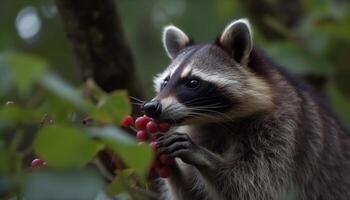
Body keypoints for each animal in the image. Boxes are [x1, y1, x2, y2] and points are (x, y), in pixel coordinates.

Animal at [142, 18, 350, 199]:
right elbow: (192, 195)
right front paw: (168, 164)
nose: (151, 107)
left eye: (193, 83)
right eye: (166, 82)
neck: (218, 120)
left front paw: (203, 156)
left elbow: (255, 184)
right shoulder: (203, 130)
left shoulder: (283, 129)